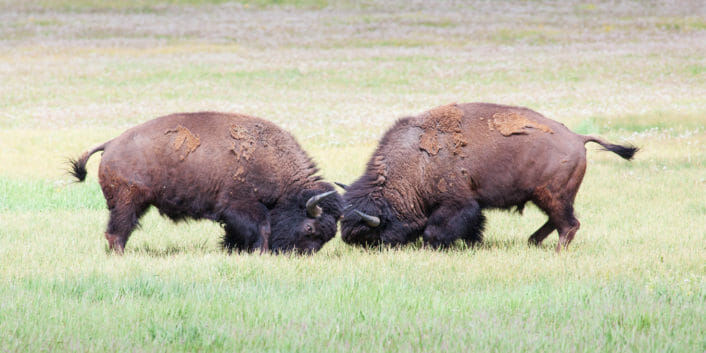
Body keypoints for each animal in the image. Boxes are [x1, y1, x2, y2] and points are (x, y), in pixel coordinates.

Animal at [69, 112, 340, 253]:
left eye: (329, 236)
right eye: (309, 228)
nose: (300, 255)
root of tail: (111, 143)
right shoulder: (241, 206)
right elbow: (263, 229)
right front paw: (260, 252)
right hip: (128, 201)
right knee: (119, 230)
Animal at [340, 102, 640, 250]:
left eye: (369, 233)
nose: (353, 244)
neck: (416, 162)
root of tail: (578, 138)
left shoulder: (456, 204)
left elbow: (436, 230)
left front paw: (432, 246)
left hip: (552, 195)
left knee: (569, 224)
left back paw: (555, 251)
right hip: (549, 197)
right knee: (558, 221)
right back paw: (532, 242)